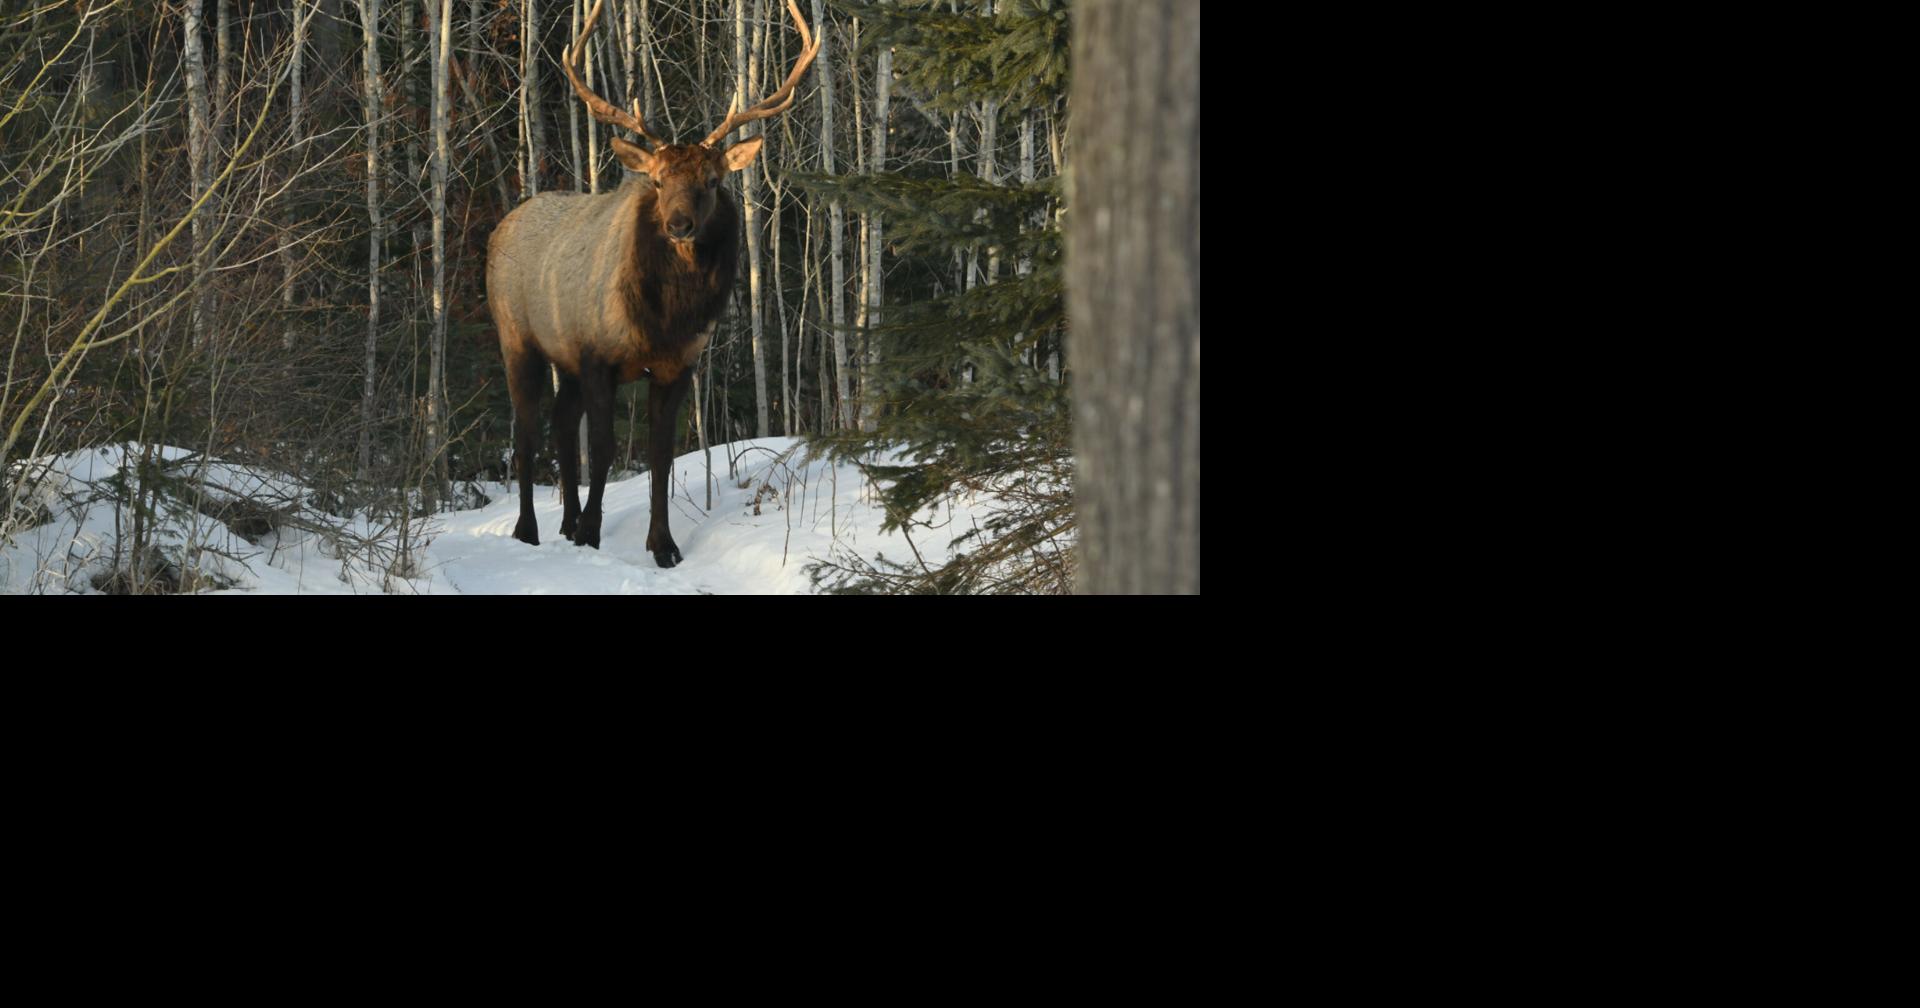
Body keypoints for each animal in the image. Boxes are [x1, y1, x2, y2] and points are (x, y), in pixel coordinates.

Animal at [485, 0, 817, 568]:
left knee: (560, 422)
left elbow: (662, 455)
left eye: (712, 181)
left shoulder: (676, 365)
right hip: (517, 339)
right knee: (527, 434)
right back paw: (528, 530)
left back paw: (565, 523)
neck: (662, 319)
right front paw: (593, 533)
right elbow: (604, 449)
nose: (679, 224)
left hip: (564, 360)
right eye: (658, 181)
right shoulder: (597, 355)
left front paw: (662, 545)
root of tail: (498, 229)